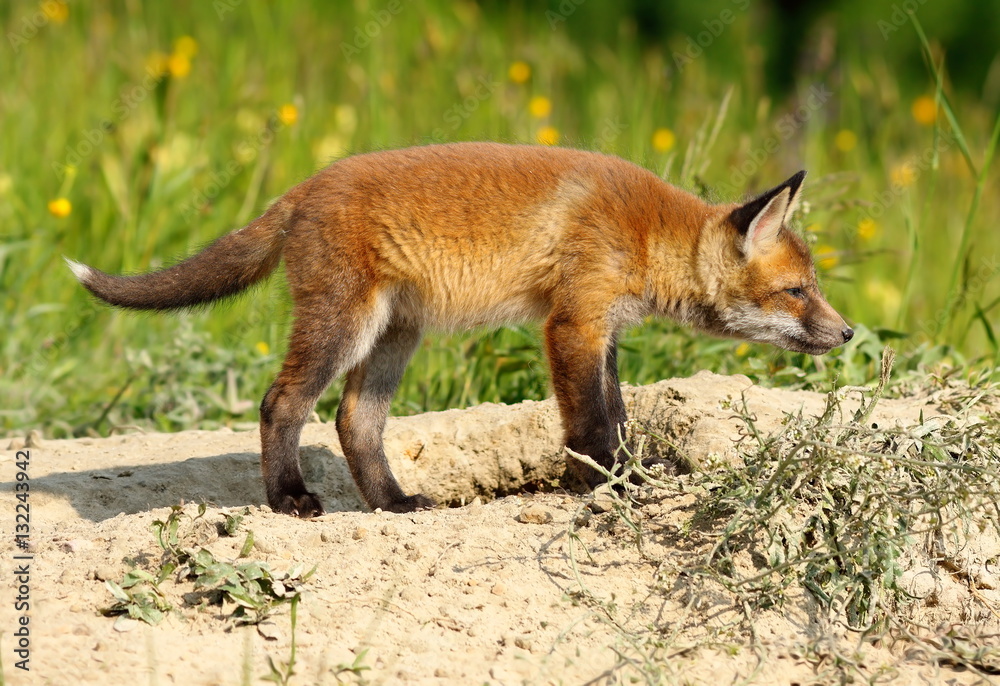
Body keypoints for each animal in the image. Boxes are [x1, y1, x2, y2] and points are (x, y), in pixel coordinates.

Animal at [67, 142, 853, 518]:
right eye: (797, 292)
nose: (847, 334)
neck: (645, 232)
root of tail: (304, 186)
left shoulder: (603, 331)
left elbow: (620, 415)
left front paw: (630, 474)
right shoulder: (572, 325)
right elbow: (592, 425)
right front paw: (608, 485)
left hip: (393, 338)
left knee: (353, 421)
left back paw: (391, 502)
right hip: (343, 328)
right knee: (280, 404)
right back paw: (288, 499)